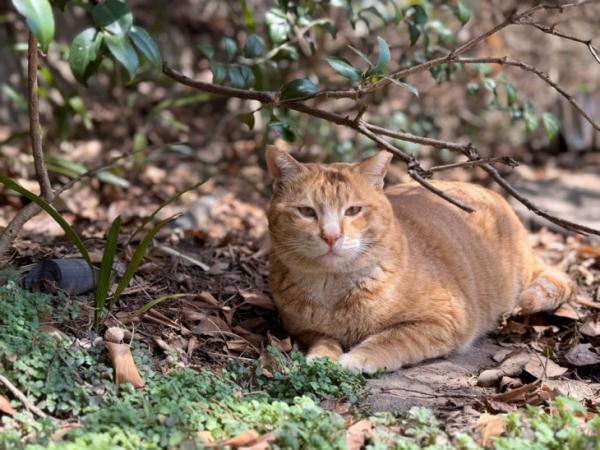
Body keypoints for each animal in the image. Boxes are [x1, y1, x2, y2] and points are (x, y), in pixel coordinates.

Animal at [268, 147, 576, 372]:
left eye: (353, 210)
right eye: (307, 212)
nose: (331, 236)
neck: (331, 290)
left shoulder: (445, 319)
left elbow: (391, 338)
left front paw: (356, 358)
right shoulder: (300, 328)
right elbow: (323, 339)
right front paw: (322, 356)